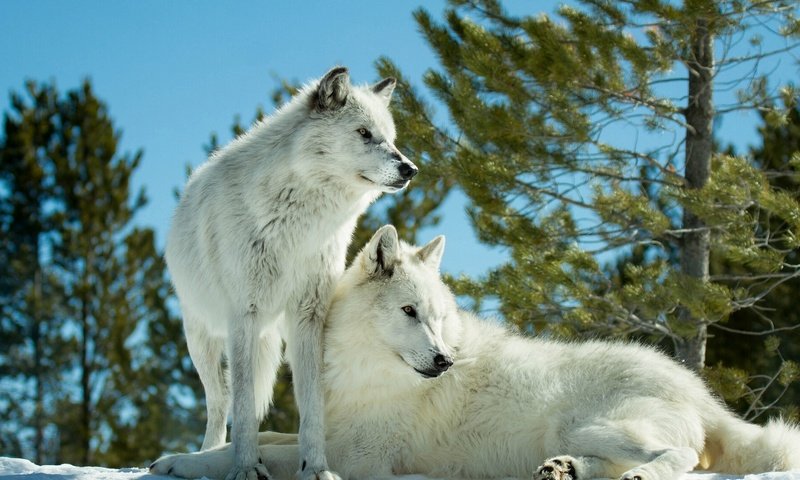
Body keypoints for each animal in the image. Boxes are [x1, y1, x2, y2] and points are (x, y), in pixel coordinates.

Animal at [152, 226, 800, 480]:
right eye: (411, 313)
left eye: (438, 319)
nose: (443, 361)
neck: (364, 373)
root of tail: (701, 392)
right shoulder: (326, 430)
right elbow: (263, 437)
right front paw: (184, 456)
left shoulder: (362, 458)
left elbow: (270, 452)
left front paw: (185, 463)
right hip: (578, 433)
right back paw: (561, 471)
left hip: (592, 424)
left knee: (681, 458)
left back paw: (638, 473)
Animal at [162, 66, 416, 480]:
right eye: (364, 132)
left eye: (391, 138)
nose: (410, 169)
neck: (299, 223)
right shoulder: (244, 315)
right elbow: (242, 407)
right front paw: (246, 469)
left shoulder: (309, 316)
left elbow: (311, 405)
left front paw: (316, 468)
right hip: (202, 338)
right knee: (220, 403)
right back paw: (207, 455)